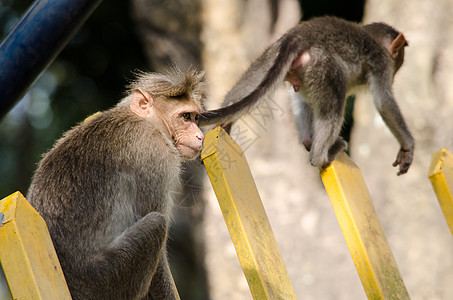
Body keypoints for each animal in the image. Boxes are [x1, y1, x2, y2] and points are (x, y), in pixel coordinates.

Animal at [26, 69, 205, 298]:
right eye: (185, 117)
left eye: (195, 117)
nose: (200, 136)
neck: (145, 121)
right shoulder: (156, 154)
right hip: (105, 280)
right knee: (156, 223)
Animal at [200, 16, 414, 175]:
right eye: (398, 59)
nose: (396, 74)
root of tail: (298, 37)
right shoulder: (382, 63)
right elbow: (383, 101)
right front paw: (407, 147)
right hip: (323, 64)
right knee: (334, 105)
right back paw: (320, 157)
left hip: (273, 56)